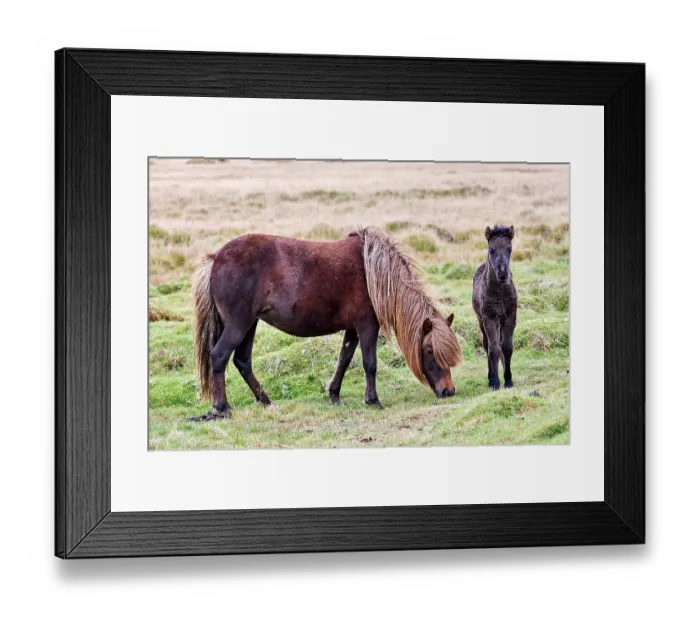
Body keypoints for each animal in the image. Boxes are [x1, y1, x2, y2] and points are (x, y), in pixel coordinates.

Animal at [191, 226, 463, 421]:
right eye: (429, 350)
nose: (448, 391)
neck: (374, 272)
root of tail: (217, 257)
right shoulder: (367, 326)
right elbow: (370, 364)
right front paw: (373, 401)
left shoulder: (353, 329)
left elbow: (344, 360)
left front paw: (334, 395)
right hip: (239, 324)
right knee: (220, 356)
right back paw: (222, 408)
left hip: (250, 324)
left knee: (242, 361)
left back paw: (266, 402)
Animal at [472, 225, 518, 391]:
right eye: (491, 249)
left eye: (509, 249)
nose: (503, 274)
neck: (499, 295)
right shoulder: (489, 319)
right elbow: (494, 349)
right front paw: (496, 383)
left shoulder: (510, 317)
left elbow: (507, 347)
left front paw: (509, 380)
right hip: (481, 321)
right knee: (487, 345)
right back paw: (490, 378)